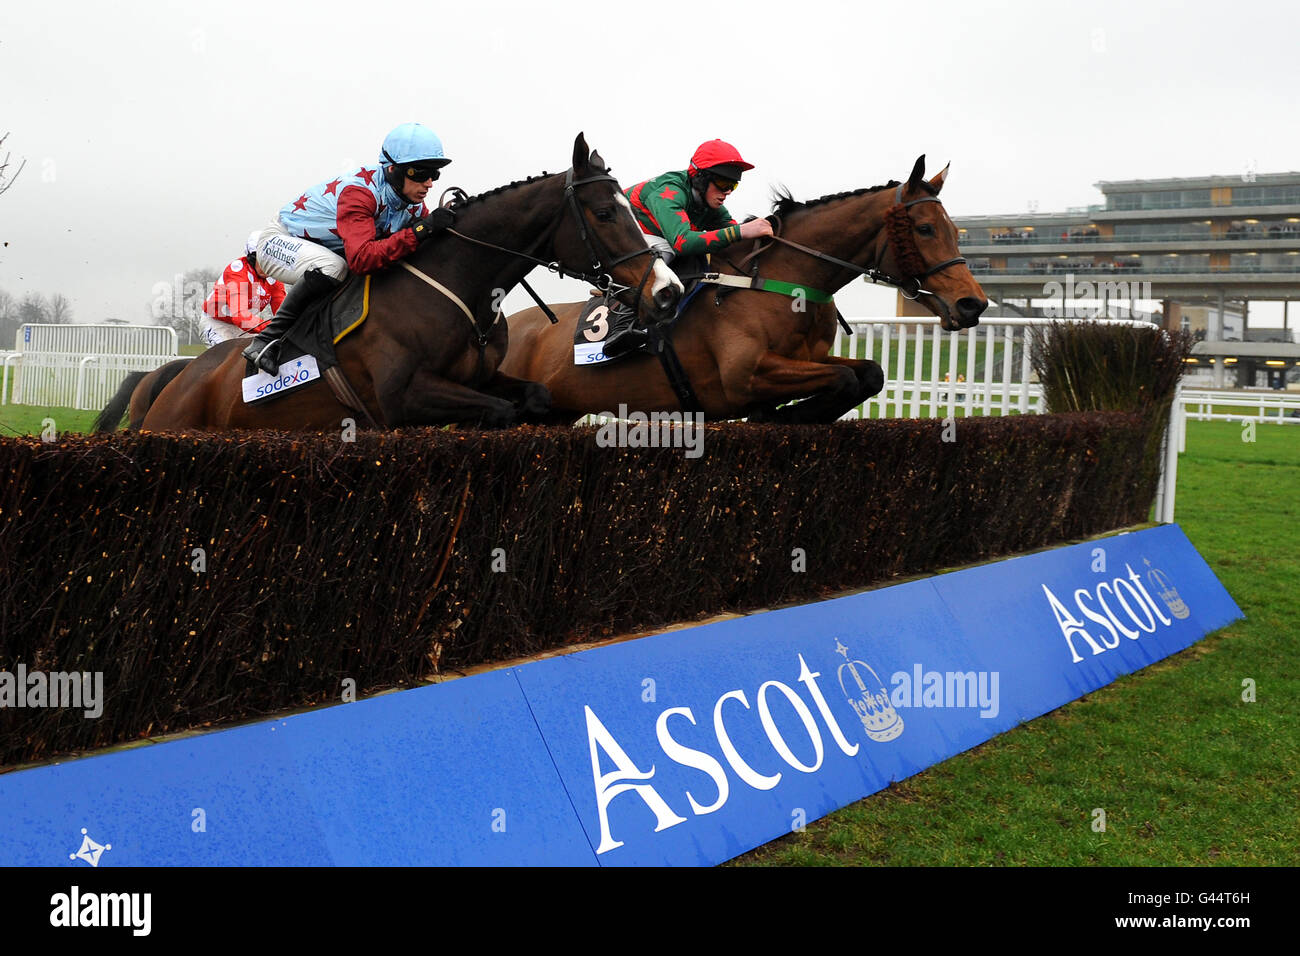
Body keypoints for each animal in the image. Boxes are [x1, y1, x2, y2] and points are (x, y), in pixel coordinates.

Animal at [98, 132, 681, 434]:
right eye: (606, 212)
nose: (667, 290)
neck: (459, 284)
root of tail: (180, 374)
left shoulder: (485, 376)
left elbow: (533, 399)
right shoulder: (402, 396)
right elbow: (499, 412)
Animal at [501, 154, 987, 421]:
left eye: (957, 232)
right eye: (924, 228)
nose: (973, 304)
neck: (783, 281)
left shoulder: (807, 358)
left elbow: (868, 373)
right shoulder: (746, 374)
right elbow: (845, 378)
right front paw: (785, 417)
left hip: (558, 412)